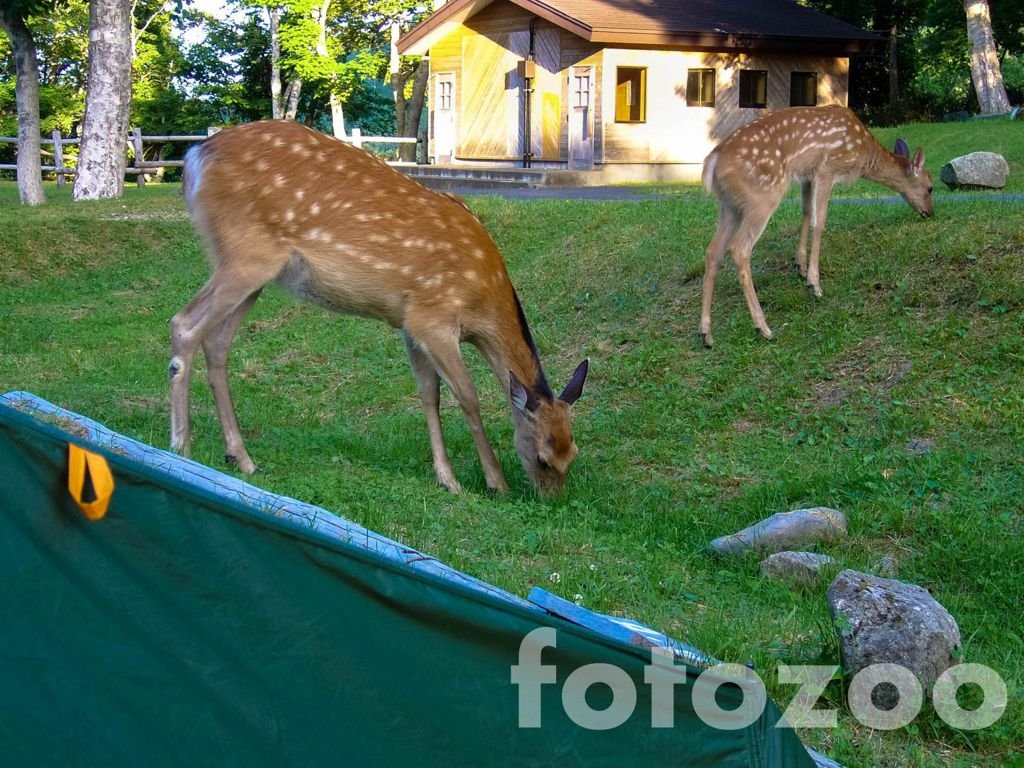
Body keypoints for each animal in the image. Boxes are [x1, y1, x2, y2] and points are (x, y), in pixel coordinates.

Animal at [166, 118, 585, 495]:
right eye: (543, 458)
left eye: (573, 454)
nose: (553, 500)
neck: (482, 300)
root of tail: (195, 156)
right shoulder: (433, 316)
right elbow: (468, 396)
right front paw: (495, 483)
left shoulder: (410, 324)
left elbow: (429, 394)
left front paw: (446, 479)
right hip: (247, 254)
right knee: (184, 323)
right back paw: (181, 447)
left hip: (256, 270)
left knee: (216, 342)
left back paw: (240, 457)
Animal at [700, 104, 933, 346]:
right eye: (930, 187)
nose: (930, 212)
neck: (864, 152)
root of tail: (712, 162)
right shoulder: (827, 168)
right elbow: (819, 222)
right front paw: (814, 284)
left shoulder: (808, 174)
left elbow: (805, 212)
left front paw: (800, 266)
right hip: (762, 196)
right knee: (739, 249)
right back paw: (762, 327)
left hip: (729, 206)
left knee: (713, 251)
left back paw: (706, 333)